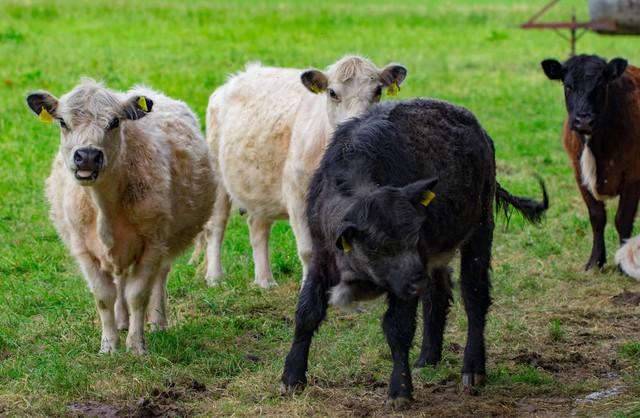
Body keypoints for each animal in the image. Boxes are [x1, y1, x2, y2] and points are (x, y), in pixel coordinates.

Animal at [27, 80, 216, 354]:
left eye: (115, 122)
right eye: (62, 121)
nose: (87, 155)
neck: (104, 207)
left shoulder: (152, 244)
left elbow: (137, 295)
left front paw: (136, 345)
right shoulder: (83, 250)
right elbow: (104, 296)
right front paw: (108, 345)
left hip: (165, 243)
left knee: (158, 277)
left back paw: (157, 322)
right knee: (120, 281)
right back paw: (121, 321)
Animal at [195, 55, 408, 288]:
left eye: (378, 91)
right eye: (332, 93)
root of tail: (237, 77)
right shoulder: (296, 195)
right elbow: (308, 251)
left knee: (258, 227)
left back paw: (265, 280)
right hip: (218, 179)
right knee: (216, 225)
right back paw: (215, 277)